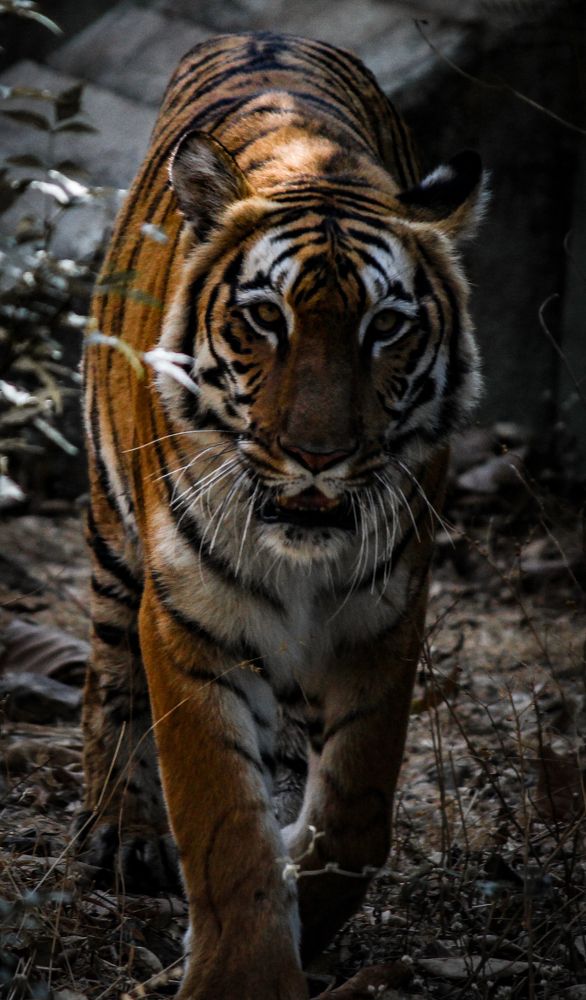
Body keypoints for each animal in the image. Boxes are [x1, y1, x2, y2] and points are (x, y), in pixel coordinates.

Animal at [81, 30, 486, 1000]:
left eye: (387, 327)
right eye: (265, 318)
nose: (317, 454)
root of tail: (262, 32)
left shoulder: (385, 615)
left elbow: (356, 813)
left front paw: (311, 897)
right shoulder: (190, 619)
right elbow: (224, 824)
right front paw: (246, 974)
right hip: (113, 544)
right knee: (107, 678)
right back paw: (122, 835)